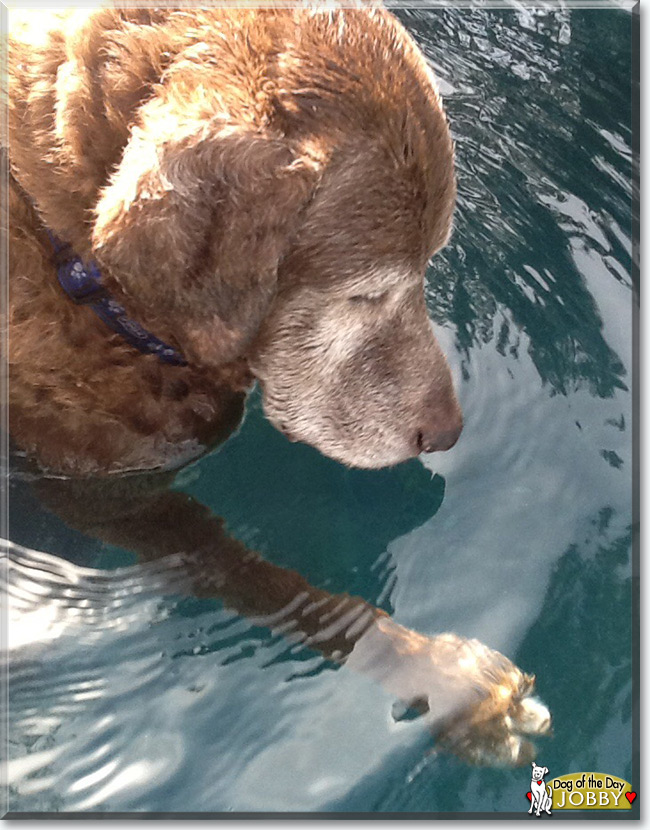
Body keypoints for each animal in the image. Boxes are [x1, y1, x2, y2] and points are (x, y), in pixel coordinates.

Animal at [7, 9, 548, 772]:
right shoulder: (107, 494)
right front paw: (442, 680)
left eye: (432, 263)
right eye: (365, 293)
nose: (448, 434)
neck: (70, 269)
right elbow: (269, 584)